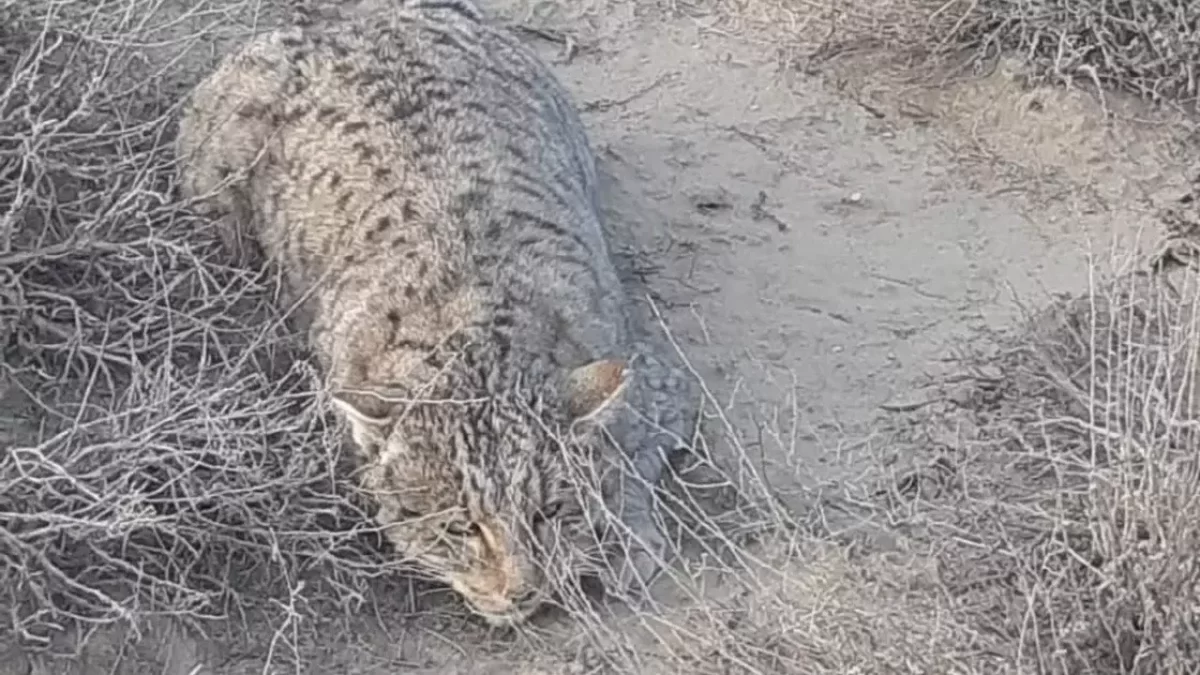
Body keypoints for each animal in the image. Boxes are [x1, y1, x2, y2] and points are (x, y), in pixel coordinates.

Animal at [172, 0, 691, 624]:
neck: (477, 324)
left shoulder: (655, 379)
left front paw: (620, 535)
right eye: (463, 527)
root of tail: (343, 16)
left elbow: (632, 461)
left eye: (547, 514)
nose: (521, 589)